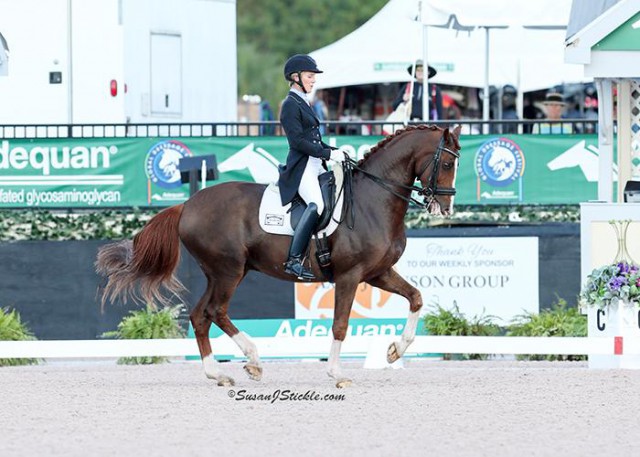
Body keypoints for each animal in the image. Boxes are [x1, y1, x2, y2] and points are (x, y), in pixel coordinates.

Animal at [96, 124, 460, 388]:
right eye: (446, 162)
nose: (445, 207)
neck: (374, 199)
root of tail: (186, 205)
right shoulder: (350, 275)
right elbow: (340, 324)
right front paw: (337, 374)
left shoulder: (377, 273)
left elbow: (416, 298)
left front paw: (395, 350)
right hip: (228, 270)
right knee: (215, 311)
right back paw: (253, 361)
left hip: (221, 272)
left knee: (201, 316)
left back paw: (220, 374)